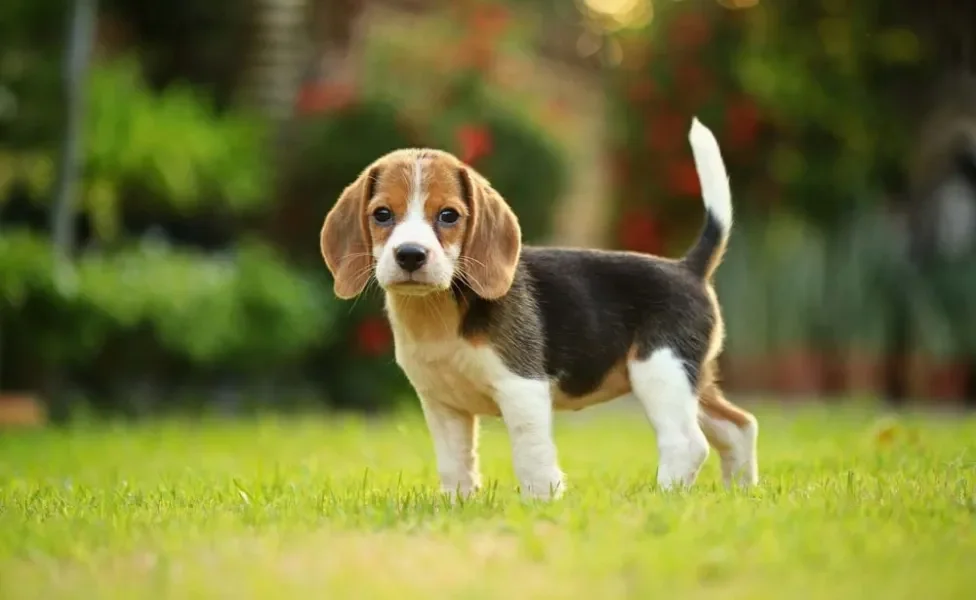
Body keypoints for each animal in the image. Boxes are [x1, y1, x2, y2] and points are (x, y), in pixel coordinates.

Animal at [320, 119, 756, 500]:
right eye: (382, 214)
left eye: (448, 216)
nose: (410, 255)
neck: (438, 311)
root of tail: (687, 268)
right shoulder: (442, 404)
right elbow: (455, 463)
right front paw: (457, 504)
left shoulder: (522, 388)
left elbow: (531, 456)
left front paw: (542, 502)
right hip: (691, 378)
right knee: (739, 427)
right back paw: (742, 493)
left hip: (659, 371)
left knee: (687, 443)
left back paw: (662, 497)